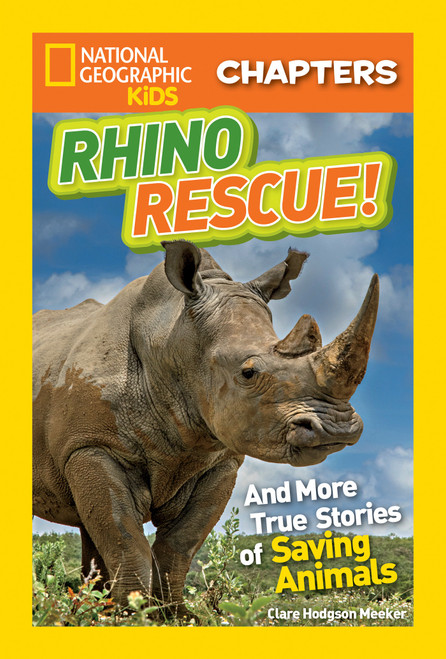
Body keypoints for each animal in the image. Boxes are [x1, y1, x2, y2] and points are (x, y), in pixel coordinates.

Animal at [33, 240, 379, 617]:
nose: (336, 429)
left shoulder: (220, 460)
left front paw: (175, 616)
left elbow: (180, 543)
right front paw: (132, 616)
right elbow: (125, 539)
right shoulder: (91, 446)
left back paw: (90, 609)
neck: (173, 339)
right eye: (248, 373)